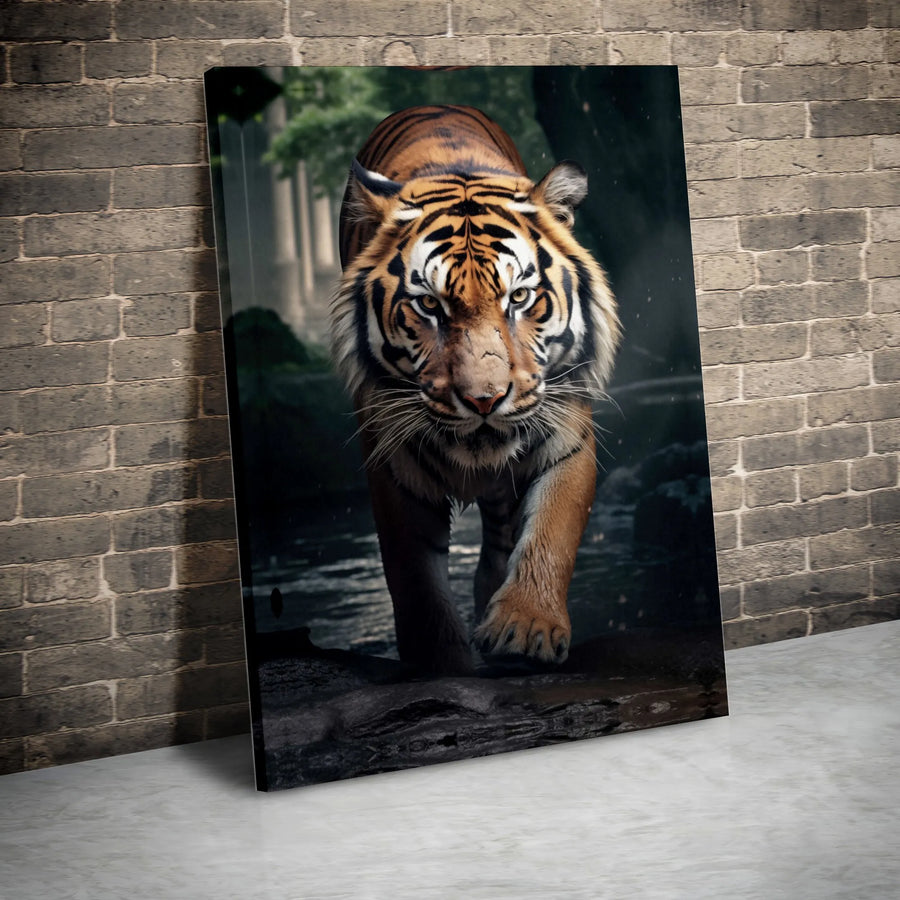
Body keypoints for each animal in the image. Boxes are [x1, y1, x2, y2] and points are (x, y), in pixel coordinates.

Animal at [331, 105, 621, 674]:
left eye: (520, 297)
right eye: (429, 305)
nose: (485, 400)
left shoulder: (567, 434)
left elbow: (552, 531)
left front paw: (525, 629)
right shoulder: (392, 465)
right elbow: (414, 578)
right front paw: (439, 663)